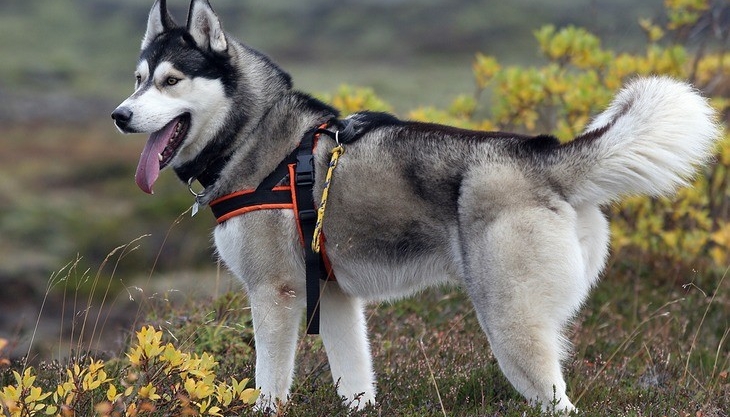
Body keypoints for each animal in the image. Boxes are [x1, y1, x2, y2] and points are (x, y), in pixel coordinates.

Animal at [112, 0, 720, 412]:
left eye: (171, 81)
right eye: (138, 80)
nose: (119, 115)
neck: (258, 137)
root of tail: (541, 154)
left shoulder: (274, 296)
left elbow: (269, 387)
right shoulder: (334, 297)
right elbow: (356, 384)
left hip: (512, 328)